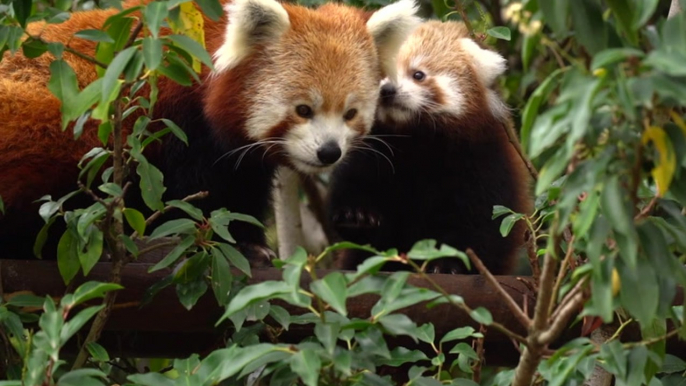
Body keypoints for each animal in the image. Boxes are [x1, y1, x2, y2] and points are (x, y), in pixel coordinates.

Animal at [0, 0, 422, 260]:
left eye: (350, 114)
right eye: (303, 110)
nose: (329, 151)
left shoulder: (240, 157)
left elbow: (241, 190)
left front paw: (249, 240)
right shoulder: (176, 125)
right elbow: (188, 195)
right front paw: (229, 242)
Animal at [330, 20, 536, 274]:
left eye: (418, 74)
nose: (387, 90)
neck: (417, 140)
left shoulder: (484, 157)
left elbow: (481, 220)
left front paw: (449, 262)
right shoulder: (373, 150)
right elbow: (355, 184)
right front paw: (356, 217)